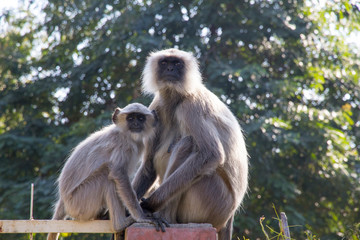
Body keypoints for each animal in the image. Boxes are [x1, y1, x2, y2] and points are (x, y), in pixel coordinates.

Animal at [46, 102, 167, 240]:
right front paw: (141, 217)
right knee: (106, 175)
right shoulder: (124, 146)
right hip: (80, 201)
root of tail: (64, 201)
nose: (136, 123)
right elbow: (118, 174)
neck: (125, 134)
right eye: (130, 118)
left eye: (141, 118)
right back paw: (120, 224)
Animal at [131, 49, 248, 240]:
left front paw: (148, 205)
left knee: (188, 144)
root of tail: (229, 216)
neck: (176, 99)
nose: (170, 69)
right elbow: (149, 166)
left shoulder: (191, 106)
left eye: (177, 63)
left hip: (214, 200)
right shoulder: (156, 108)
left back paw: (165, 216)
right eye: (165, 62)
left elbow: (212, 155)